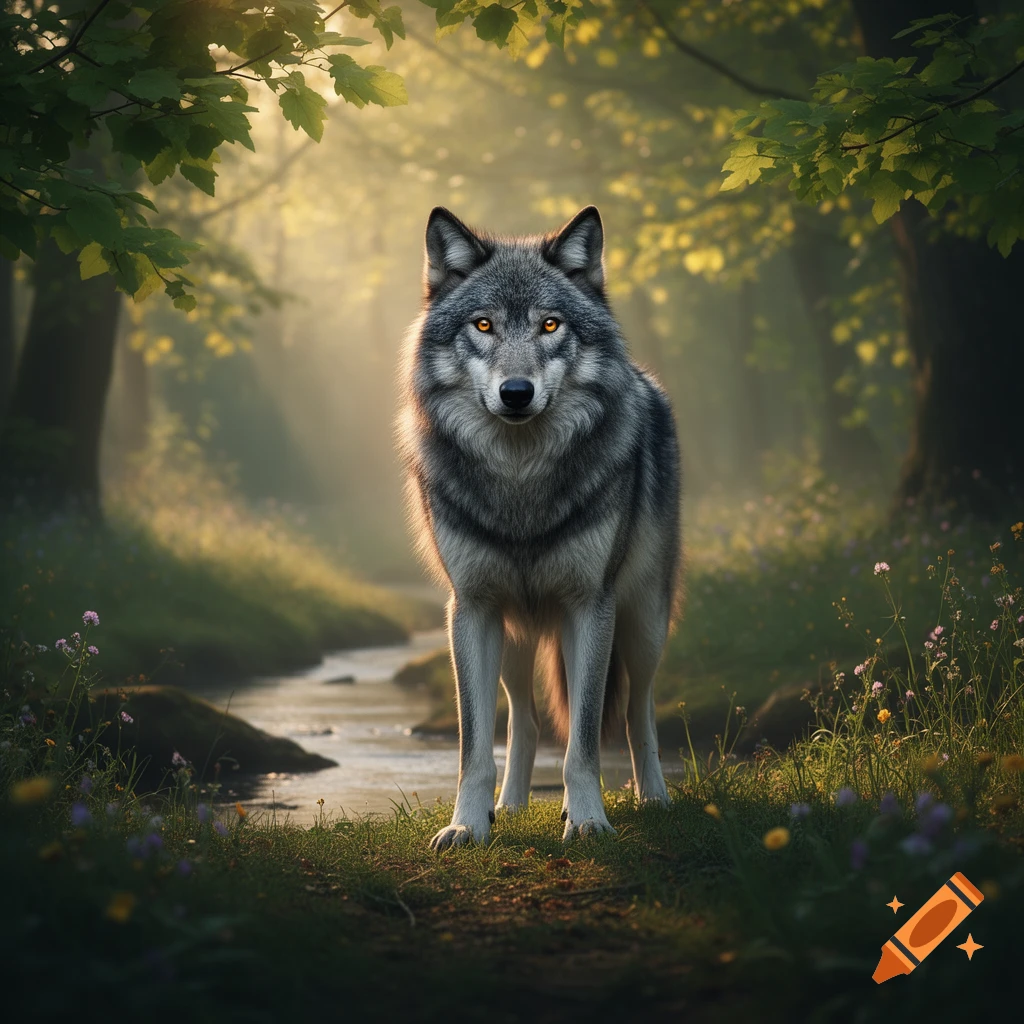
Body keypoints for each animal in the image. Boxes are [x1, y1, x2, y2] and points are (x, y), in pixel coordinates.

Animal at [396, 206, 681, 850]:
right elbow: (474, 746)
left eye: (550, 325)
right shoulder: (471, 609)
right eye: (483, 324)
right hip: (512, 638)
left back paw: (652, 796)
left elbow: (583, 742)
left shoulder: (589, 606)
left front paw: (590, 819)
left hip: (643, 623)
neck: (520, 481)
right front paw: (466, 825)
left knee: (639, 710)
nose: (516, 392)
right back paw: (511, 806)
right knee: (523, 721)